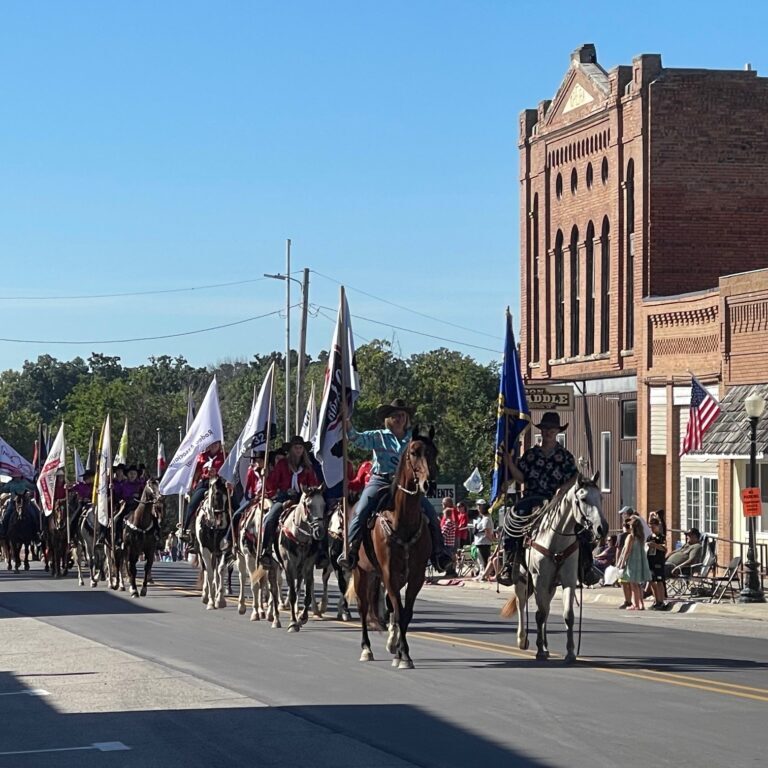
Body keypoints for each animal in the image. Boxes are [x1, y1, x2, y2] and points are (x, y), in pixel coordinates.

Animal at [195, 476, 231, 608]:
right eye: (217, 494)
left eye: (228, 496)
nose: (222, 522)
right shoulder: (204, 549)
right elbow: (209, 573)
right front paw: (210, 602)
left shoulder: (225, 549)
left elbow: (220, 571)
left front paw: (220, 600)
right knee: (206, 570)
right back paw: (206, 595)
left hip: (216, 553)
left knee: (216, 572)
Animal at [280, 488, 328, 632]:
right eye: (309, 505)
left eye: (323, 504)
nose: (320, 531)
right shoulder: (288, 566)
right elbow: (292, 595)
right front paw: (292, 623)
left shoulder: (308, 566)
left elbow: (307, 594)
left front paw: (302, 618)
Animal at [346, 428, 436, 668]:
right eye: (414, 452)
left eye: (434, 452)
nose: (429, 484)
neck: (401, 520)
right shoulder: (389, 572)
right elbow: (398, 608)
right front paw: (403, 654)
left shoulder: (416, 575)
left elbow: (405, 613)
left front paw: (401, 653)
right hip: (361, 571)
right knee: (363, 607)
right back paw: (366, 649)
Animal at [500, 472, 608, 664]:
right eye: (583, 498)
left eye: (601, 497)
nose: (602, 528)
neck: (556, 540)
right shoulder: (539, 580)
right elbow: (539, 614)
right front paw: (539, 651)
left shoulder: (568, 580)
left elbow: (568, 615)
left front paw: (570, 653)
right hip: (522, 579)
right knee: (521, 603)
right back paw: (522, 640)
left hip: (551, 585)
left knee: (547, 609)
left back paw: (545, 646)